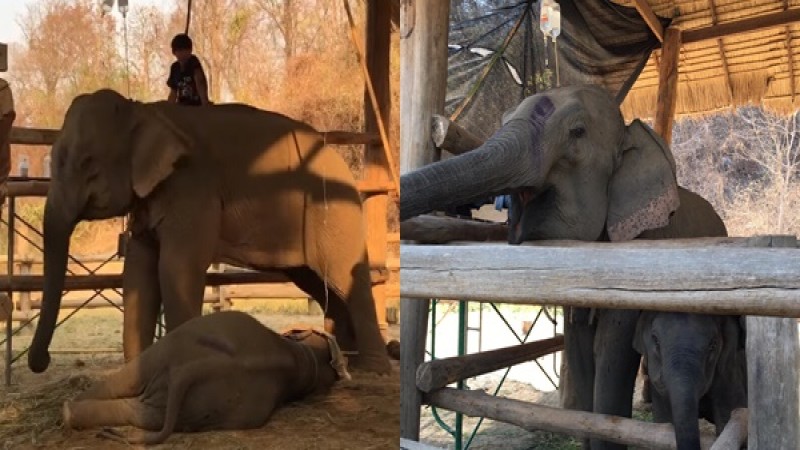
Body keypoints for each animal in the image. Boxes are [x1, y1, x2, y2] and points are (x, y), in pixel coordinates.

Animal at [29, 89, 392, 374]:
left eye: (88, 164)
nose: (42, 361)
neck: (144, 110)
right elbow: (138, 273)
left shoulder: (192, 188)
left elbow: (175, 269)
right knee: (319, 282)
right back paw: (343, 359)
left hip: (335, 213)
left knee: (345, 278)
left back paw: (372, 369)